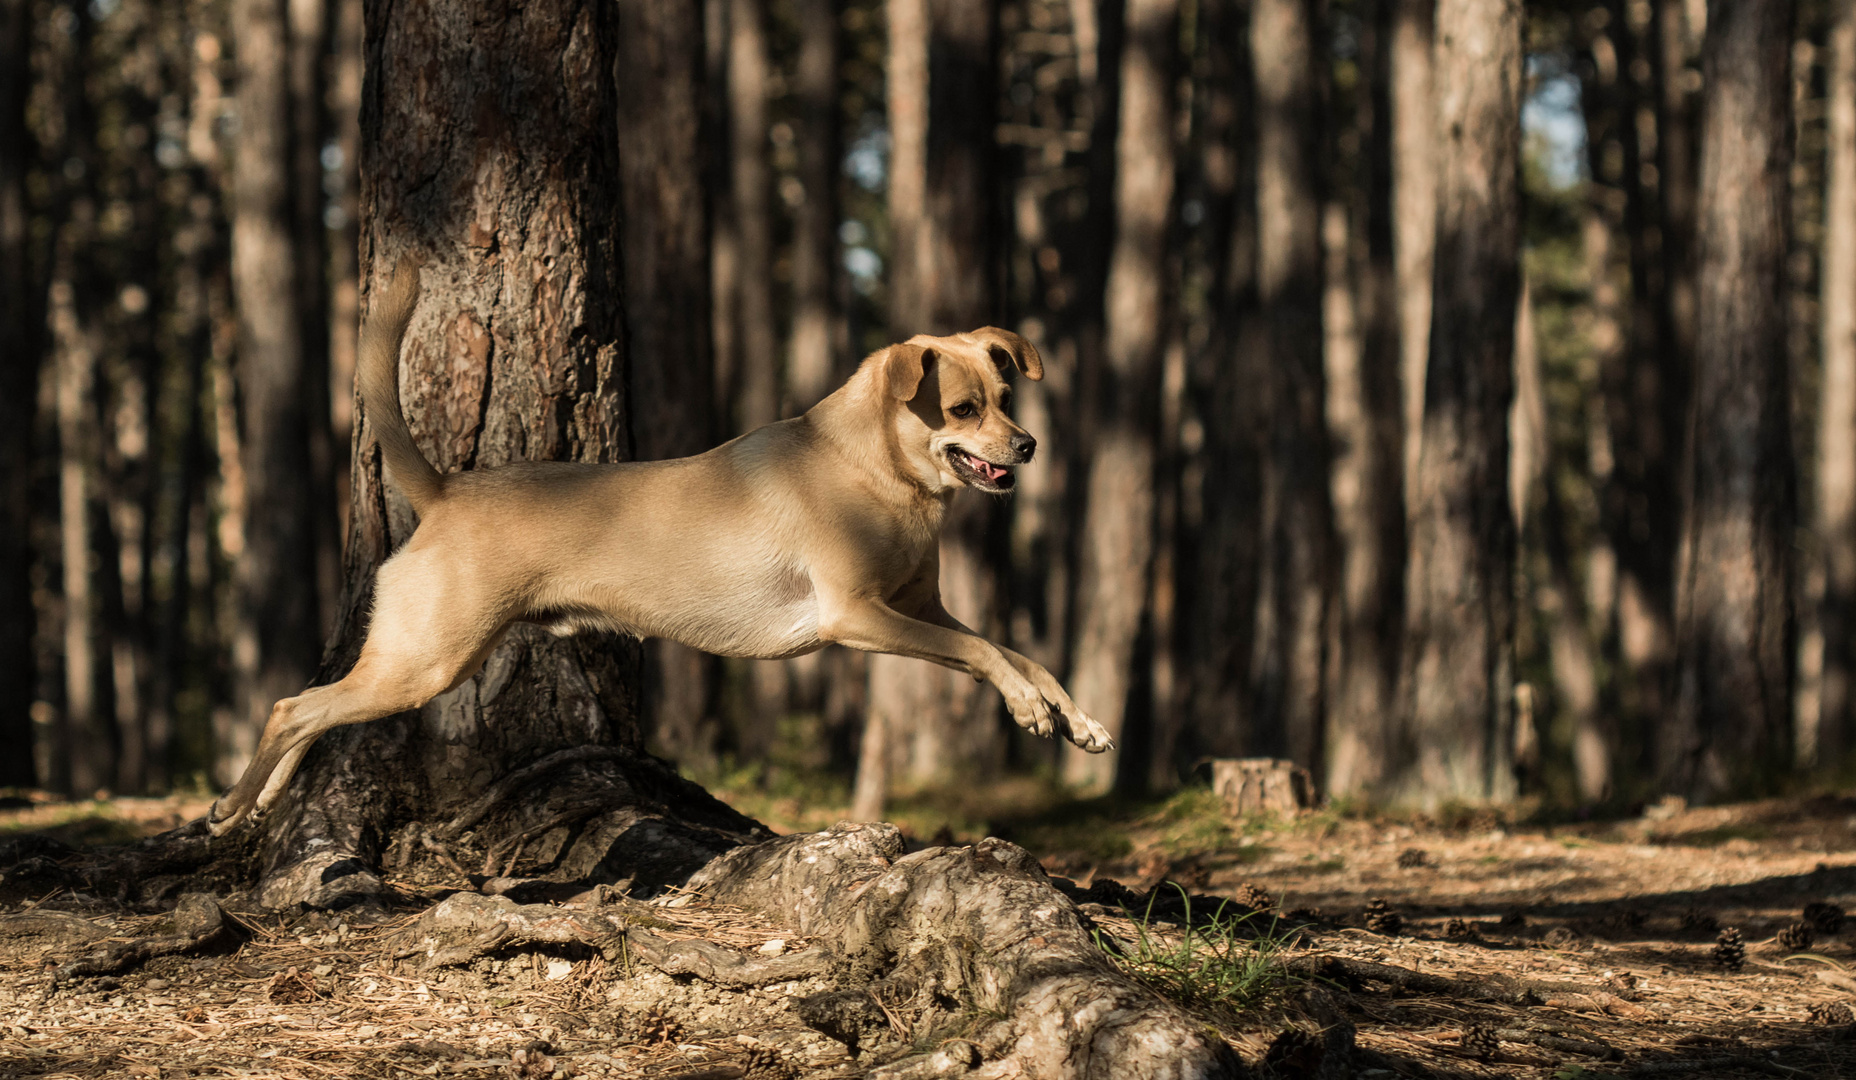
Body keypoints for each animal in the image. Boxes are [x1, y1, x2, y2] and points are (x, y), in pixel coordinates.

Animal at [213, 256, 1113, 838]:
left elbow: (1017, 653)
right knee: (293, 707)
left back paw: (254, 803)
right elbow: (988, 657)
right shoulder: (859, 618)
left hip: (415, 659)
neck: (877, 470)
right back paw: (235, 803)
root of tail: (444, 492)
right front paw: (1031, 710)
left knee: (309, 711)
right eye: (963, 410)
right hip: (426, 659)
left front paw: (1076, 719)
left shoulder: (924, 607)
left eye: (1006, 395)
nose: (1029, 444)